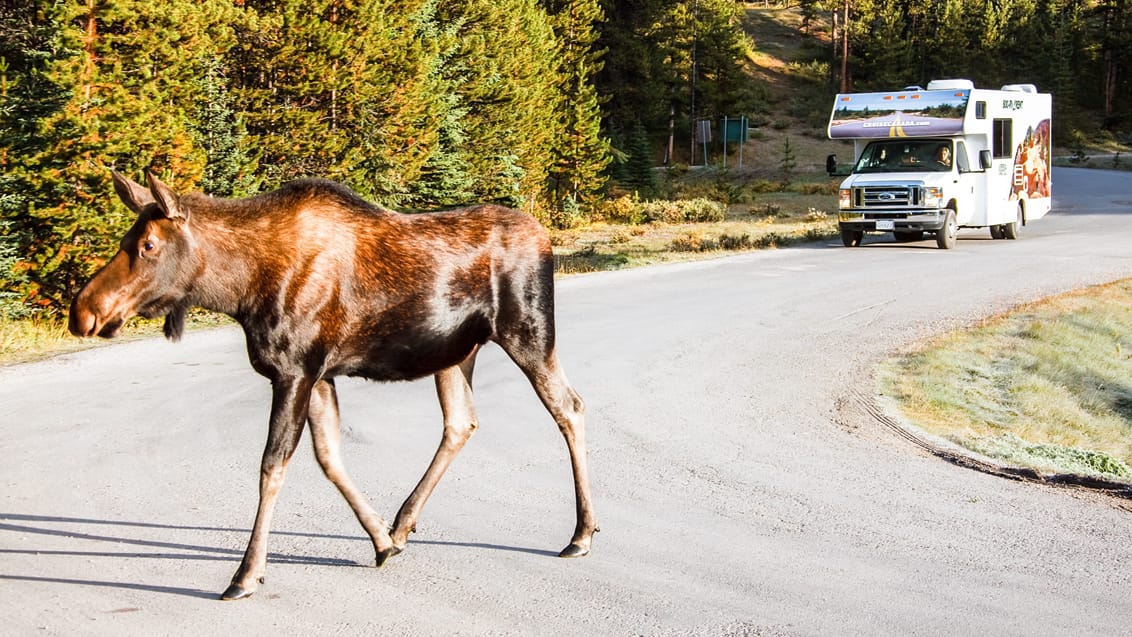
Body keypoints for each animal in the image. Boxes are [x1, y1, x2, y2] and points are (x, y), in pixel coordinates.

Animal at [68, 171, 602, 601]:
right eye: (126, 238)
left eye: (148, 245)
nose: (84, 311)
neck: (238, 291)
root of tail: (545, 237)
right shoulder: (319, 373)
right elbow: (329, 457)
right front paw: (381, 541)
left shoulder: (295, 370)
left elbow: (273, 466)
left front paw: (246, 574)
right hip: (455, 353)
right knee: (461, 422)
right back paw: (403, 524)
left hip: (528, 331)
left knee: (569, 406)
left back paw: (581, 533)